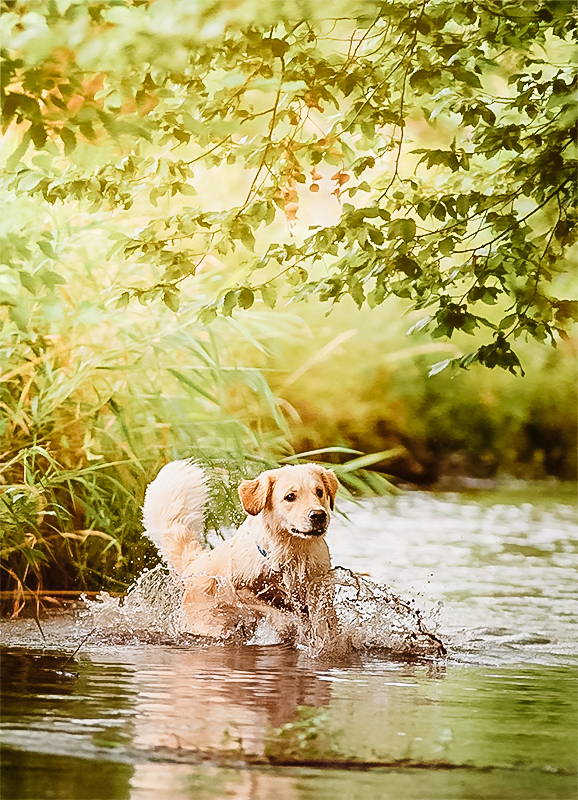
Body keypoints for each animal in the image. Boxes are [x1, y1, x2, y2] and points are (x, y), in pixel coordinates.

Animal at [142, 460, 340, 648]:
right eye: (290, 497)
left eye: (319, 492)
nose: (318, 515)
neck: (292, 553)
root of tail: (195, 563)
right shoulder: (242, 588)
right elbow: (274, 611)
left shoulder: (321, 589)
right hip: (210, 624)